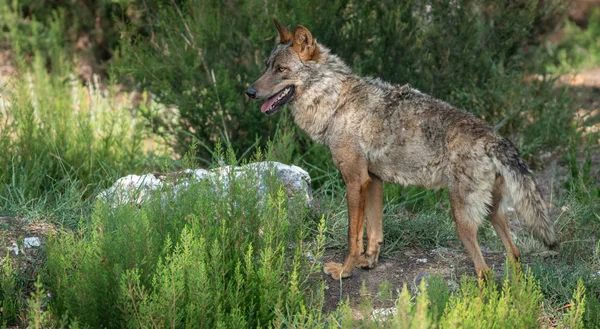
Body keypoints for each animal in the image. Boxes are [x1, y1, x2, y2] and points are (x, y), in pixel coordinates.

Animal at [245, 18, 556, 280]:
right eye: (266, 65)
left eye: (281, 70)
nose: (249, 92)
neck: (336, 103)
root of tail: (496, 139)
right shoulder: (373, 180)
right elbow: (374, 232)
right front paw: (368, 263)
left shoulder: (355, 181)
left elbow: (352, 236)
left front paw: (344, 271)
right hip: (492, 214)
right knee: (515, 255)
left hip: (462, 220)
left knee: (485, 272)